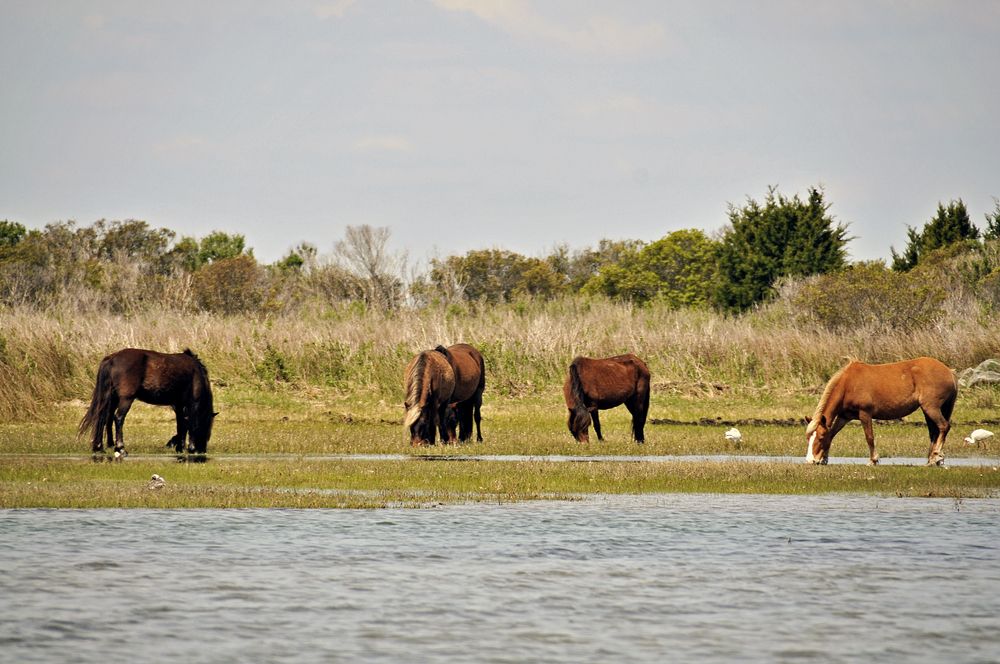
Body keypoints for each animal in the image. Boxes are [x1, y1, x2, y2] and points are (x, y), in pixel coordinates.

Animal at [79, 348, 216, 458]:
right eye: (208, 428)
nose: (202, 450)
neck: (197, 372)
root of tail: (112, 358)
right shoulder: (193, 403)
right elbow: (191, 424)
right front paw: (191, 448)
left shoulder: (178, 405)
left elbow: (182, 425)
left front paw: (180, 448)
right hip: (126, 399)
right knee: (118, 418)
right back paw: (121, 448)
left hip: (112, 399)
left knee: (104, 418)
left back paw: (101, 446)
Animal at [805, 357, 958, 466]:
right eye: (808, 438)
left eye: (820, 437)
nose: (811, 460)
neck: (848, 384)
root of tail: (949, 371)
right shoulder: (844, 417)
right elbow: (831, 435)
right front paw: (824, 459)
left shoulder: (865, 414)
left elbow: (869, 437)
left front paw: (873, 460)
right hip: (929, 410)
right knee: (934, 432)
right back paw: (932, 459)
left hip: (931, 407)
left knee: (944, 426)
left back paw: (936, 456)